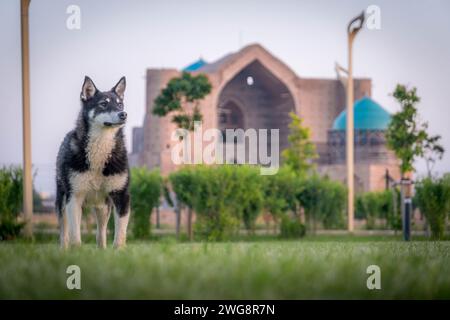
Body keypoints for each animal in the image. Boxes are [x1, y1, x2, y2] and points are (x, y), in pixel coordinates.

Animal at [55, 76, 130, 249]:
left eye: (120, 104)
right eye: (103, 104)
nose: (123, 114)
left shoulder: (121, 196)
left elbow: (120, 234)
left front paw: (119, 251)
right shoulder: (74, 198)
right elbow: (75, 235)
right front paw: (77, 252)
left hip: (103, 206)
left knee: (100, 233)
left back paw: (101, 250)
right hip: (62, 200)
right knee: (64, 232)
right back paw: (63, 249)